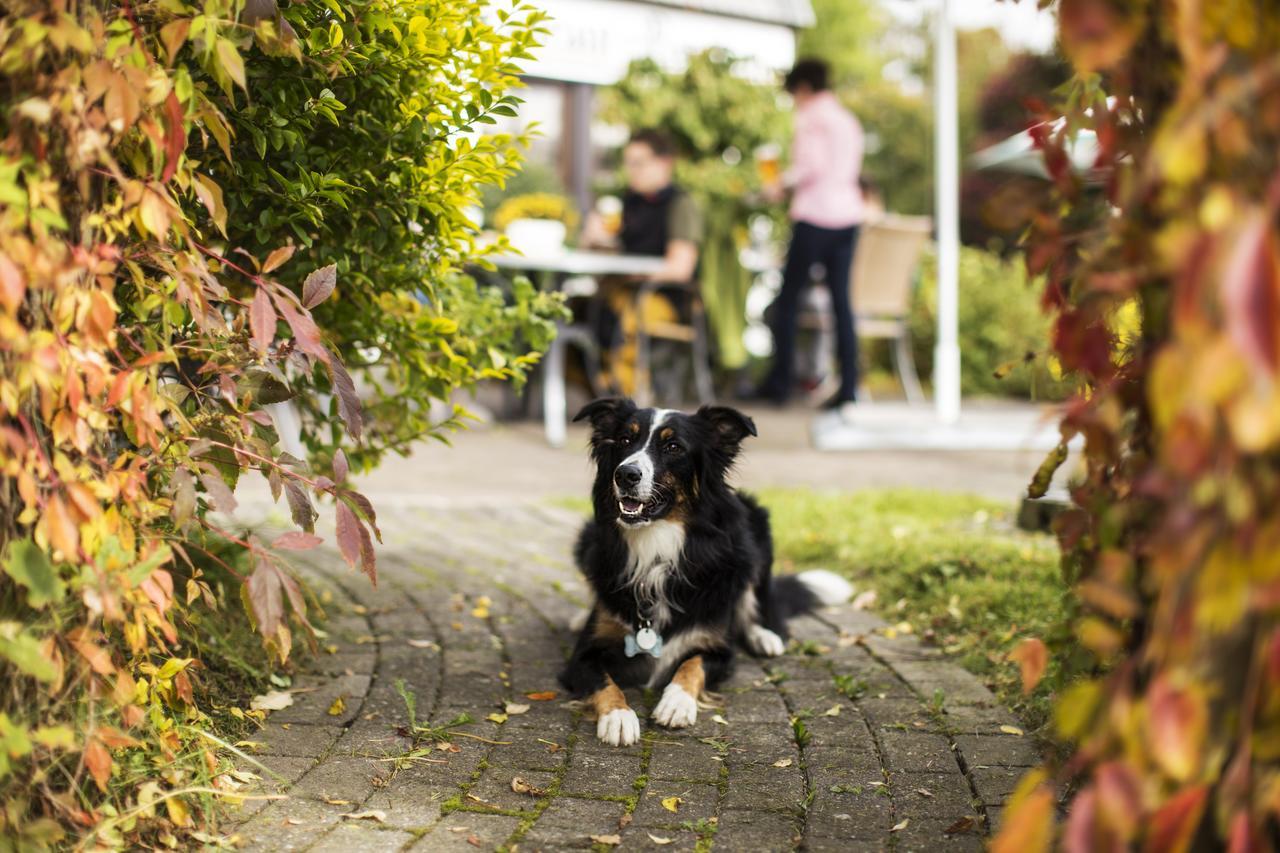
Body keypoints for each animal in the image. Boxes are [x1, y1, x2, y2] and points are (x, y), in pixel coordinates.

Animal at [560, 394, 849, 742]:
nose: (625, 474)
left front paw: (676, 702)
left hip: (755, 528)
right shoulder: (580, 658)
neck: (656, 547)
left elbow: (692, 664)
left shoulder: (721, 652)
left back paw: (764, 636)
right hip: (587, 537)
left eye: (674, 447)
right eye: (625, 440)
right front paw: (618, 716)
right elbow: (604, 681)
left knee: (758, 603)